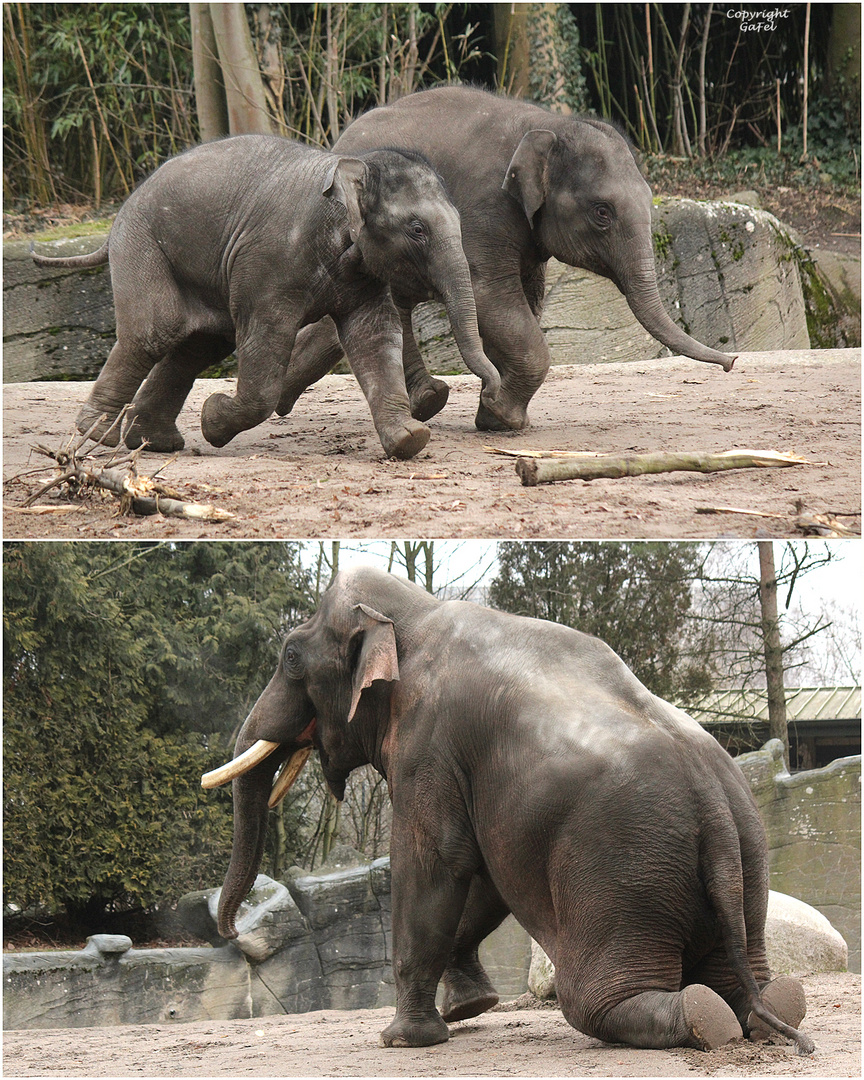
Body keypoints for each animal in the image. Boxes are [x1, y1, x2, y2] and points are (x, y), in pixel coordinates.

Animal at [32, 132, 505, 457]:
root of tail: (117, 216)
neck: (350, 170)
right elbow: (267, 337)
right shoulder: (269, 263)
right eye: (417, 229)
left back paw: (155, 442)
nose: (492, 394)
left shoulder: (363, 273)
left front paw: (410, 439)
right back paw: (98, 434)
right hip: (143, 245)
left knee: (199, 345)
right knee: (155, 331)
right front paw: (214, 418)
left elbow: (374, 336)